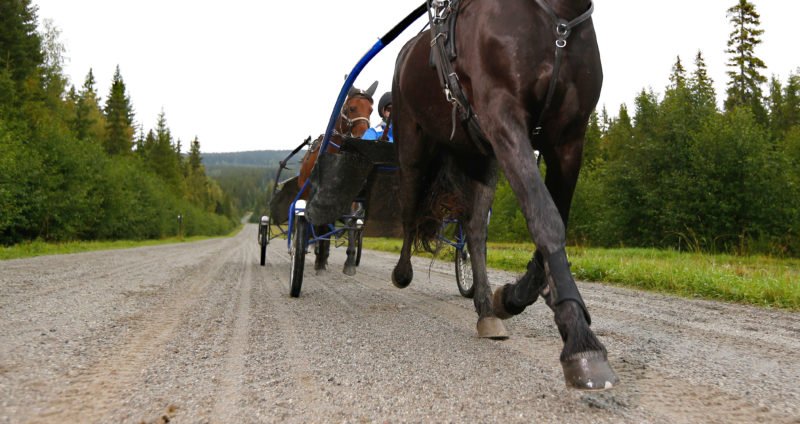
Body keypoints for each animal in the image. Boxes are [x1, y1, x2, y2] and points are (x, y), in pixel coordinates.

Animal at [298, 81, 380, 276]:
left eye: (371, 110)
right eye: (351, 108)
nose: (363, 138)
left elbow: (351, 222)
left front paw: (349, 261)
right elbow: (323, 225)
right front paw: (320, 259)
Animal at [390, 0, 616, 390]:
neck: (557, 19)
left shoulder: (569, 139)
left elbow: (555, 218)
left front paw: (512, 297)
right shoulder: (503, 116)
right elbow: (545, 217)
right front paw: (580, 341)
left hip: (480, 157)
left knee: (475, 228)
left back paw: (485, 307)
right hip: (413, 147)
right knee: (409, 209)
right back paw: (402, 272)